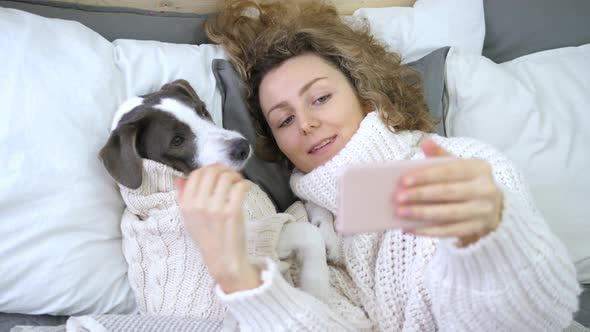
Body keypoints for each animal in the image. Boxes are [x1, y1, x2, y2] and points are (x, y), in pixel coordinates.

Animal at [99, 78, 336, 306]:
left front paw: (327, 231)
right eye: (177, 141)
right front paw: (317, 292)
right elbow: (308, 233)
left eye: (203, 111)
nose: (242, 147)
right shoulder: (259, 237)